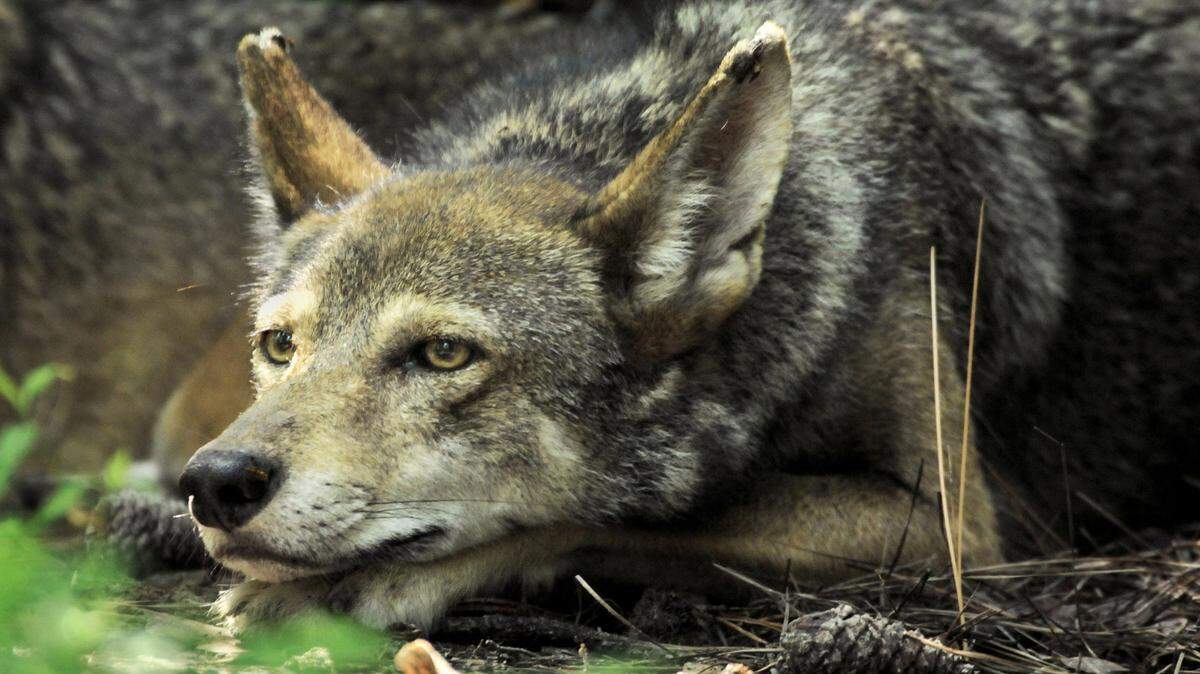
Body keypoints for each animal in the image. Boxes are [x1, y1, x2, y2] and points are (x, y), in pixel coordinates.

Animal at [173, 0, 1200, 632]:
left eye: (443, 354)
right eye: (280, 346)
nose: (215, 483)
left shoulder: (950, 526)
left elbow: (621, 521)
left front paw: (354, 581)